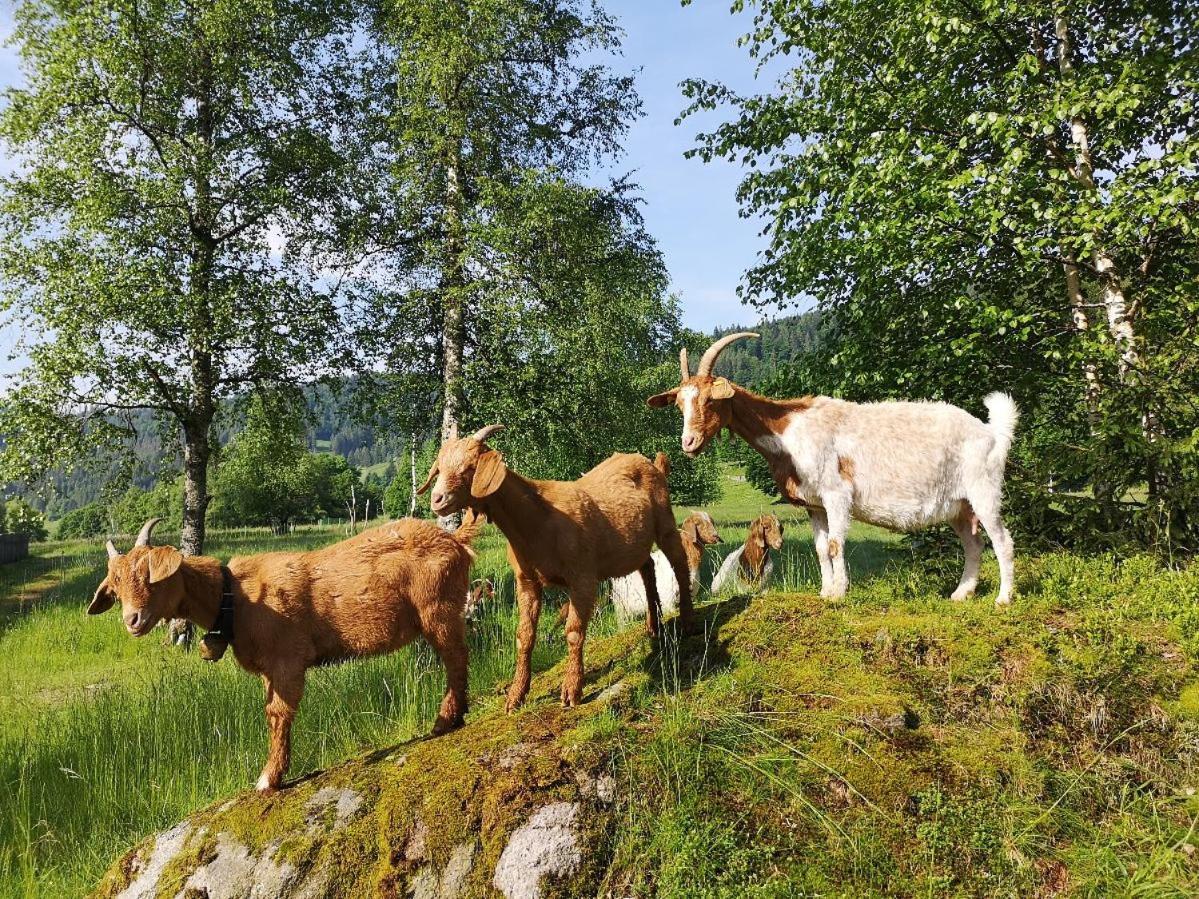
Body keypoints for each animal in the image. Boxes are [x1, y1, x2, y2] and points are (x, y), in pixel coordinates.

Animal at [88, 517, 477, 791]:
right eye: (115, 587)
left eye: (150, 574)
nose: (132, 620)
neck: (234, 596)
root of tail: (456, 541)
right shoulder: (268, 669)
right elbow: (272, 711)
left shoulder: (287, 659)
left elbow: (278, 713)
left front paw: (268, 779)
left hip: (437, 607)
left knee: (456, 656)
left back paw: (446, 720)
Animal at [419, 426, 695, 714]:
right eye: (439, 468)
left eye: (470, 467)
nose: (437, 499)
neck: (539, 520)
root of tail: (654, 464)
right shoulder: (527, 580)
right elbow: (524, 635)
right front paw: (516, 696)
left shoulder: (583, 577)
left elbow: (573, 631)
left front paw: (572, 691)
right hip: (635, 544)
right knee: (647, 567)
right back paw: (653, 625)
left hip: (665, 523)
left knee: (679, 563)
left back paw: (688, 621)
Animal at [652, 335, 1016, 606]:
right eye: (680, 404)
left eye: (710, 400)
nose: (688, 442)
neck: (787, 432)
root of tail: (992, 433)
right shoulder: (814, 505)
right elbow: (819, 548)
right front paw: (826, 591)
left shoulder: (836, 494)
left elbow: (835, 544)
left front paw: (840, 593)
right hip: (959, 506)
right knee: (974, 544)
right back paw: (961, 594)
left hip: (984, 490)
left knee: (1002, 540)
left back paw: (1003, 598)